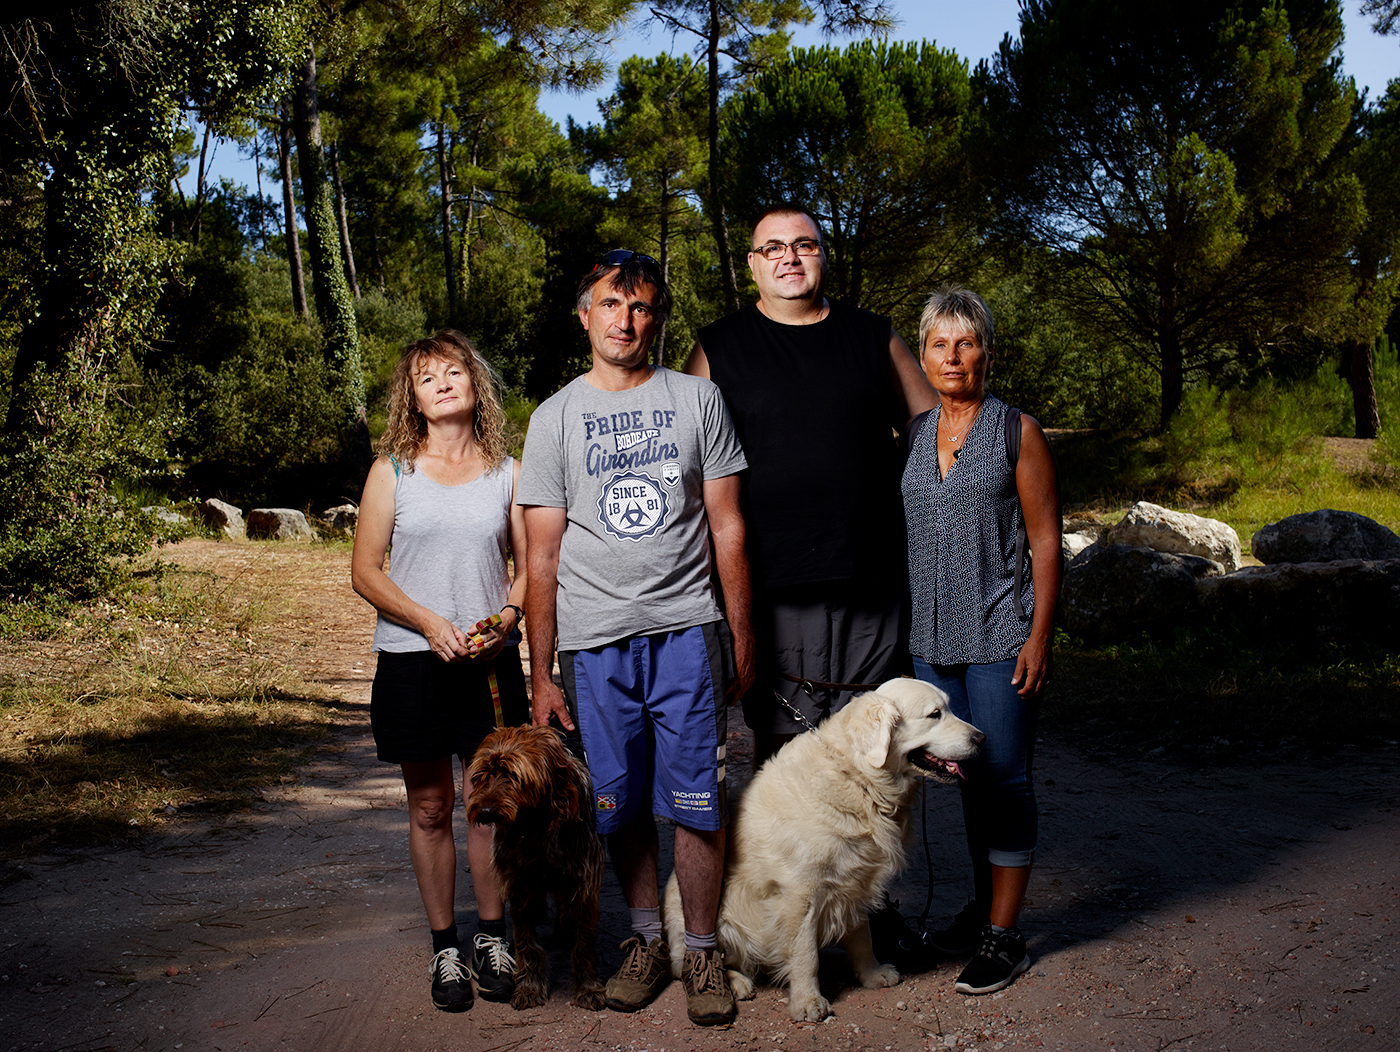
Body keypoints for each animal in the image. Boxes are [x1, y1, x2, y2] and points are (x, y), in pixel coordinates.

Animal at [467, 722, 604, 1014]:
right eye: (482, 775)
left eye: (514, 776)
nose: (485, 811)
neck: (535, 827)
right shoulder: (519, 885)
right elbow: (526, 942)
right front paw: (529, 986)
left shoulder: (583, 884)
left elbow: (584, 943)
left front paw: (588, 987)